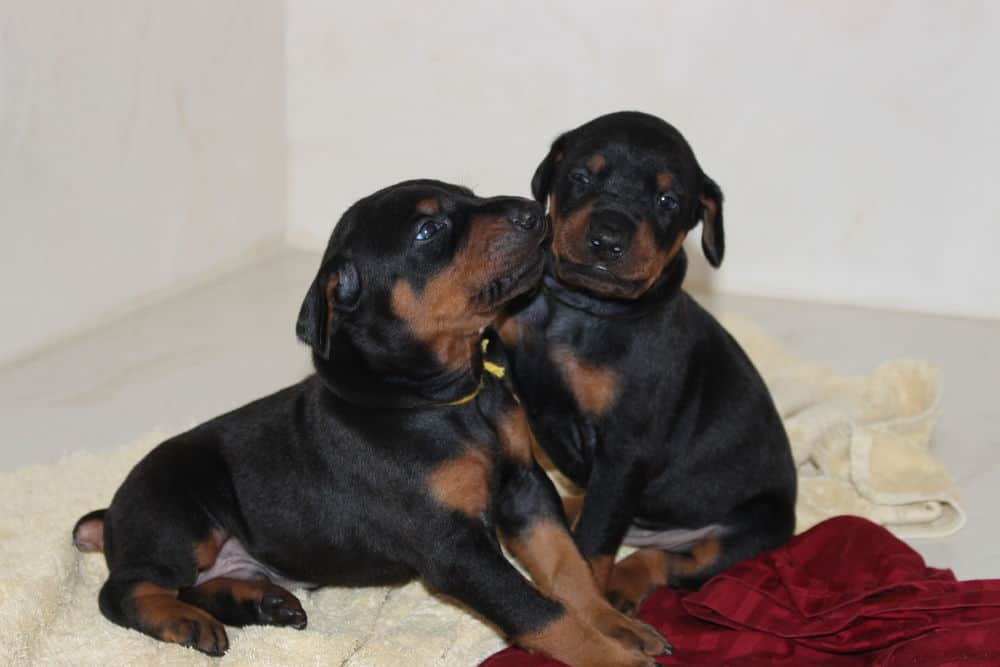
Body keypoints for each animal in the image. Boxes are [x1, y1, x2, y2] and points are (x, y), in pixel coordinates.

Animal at [70, 180, 668, 664]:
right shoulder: (452, 547)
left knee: (198, 584)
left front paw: (619, 627)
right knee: (122, 591)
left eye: (470, 194)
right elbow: (539, 611)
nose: (531, 210)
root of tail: (112, 514)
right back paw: (184, 621)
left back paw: (265, 603)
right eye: (428, 230)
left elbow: (570, 570)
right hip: (180, 516)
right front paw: (615, 660)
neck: (452, 398)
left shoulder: (526, 488)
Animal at [500, 111, 796, 616]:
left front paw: (591, 597)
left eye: (667, 200)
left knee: (669, 560)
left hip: (749, 530)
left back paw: (623, 582)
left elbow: (596, 542)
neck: (583, 309)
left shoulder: (625, 450)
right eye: (580, 177)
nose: (607, 238)